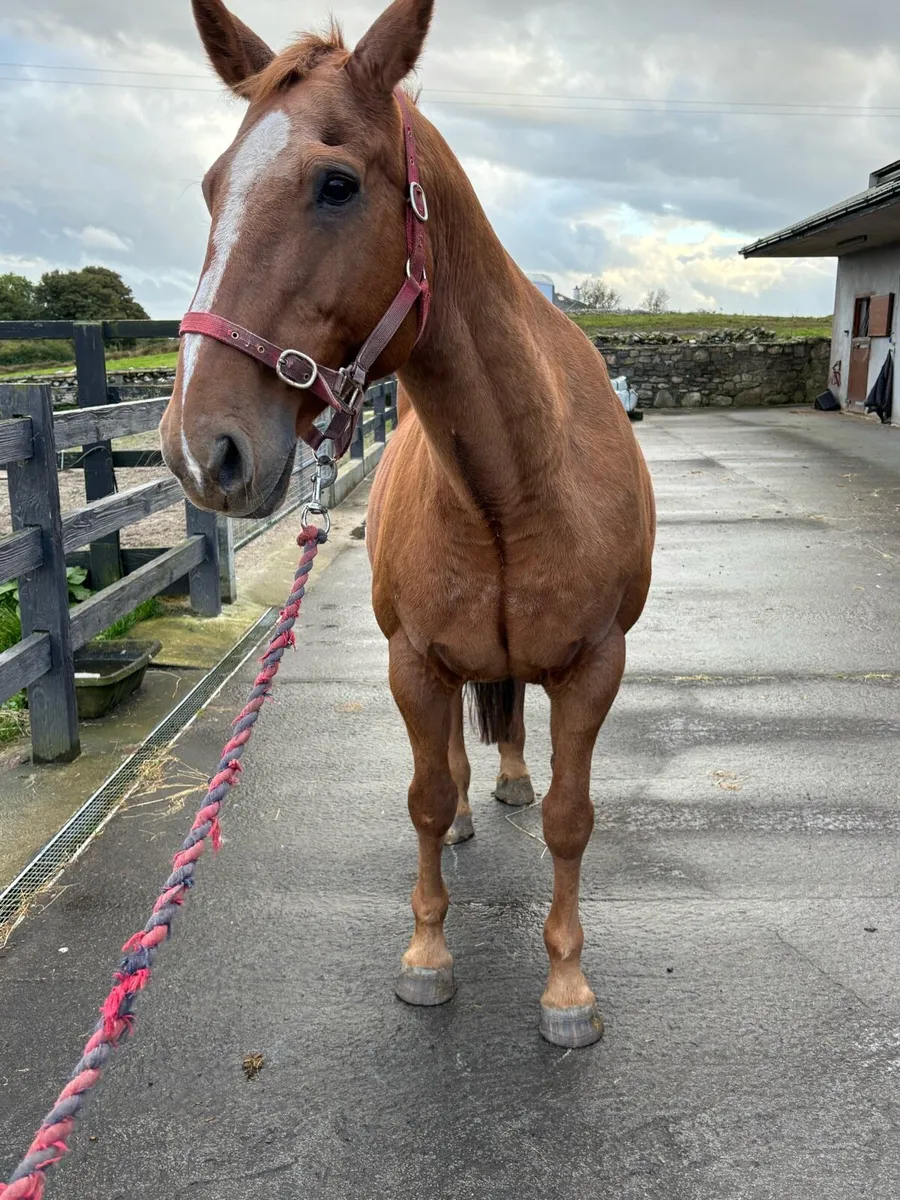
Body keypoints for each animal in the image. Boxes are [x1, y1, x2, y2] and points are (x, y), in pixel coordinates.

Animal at [160, 0, 655, 1048]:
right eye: (214, 186)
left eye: (336, 185)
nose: (197, 449)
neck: (514, 483)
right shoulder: (413, 662)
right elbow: (425, 801)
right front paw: (428, 956)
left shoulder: (596, 666)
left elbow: (569, 818)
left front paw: (567, 986)